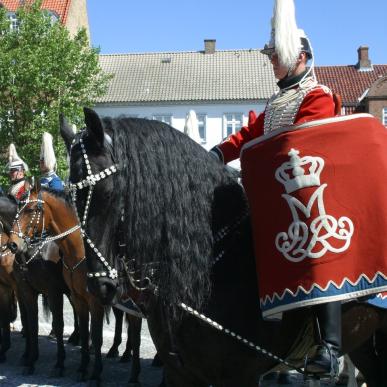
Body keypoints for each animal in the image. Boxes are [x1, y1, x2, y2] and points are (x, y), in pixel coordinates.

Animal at [8, 183, 146, 386]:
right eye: (18, 209)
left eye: (31, 209)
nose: (12, 244)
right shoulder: (72, 297)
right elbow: (36, 325)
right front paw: (81, 368)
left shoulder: (78, 297)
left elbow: (92, 335)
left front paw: (92, 373)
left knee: (136, 335)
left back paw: (134, 372)